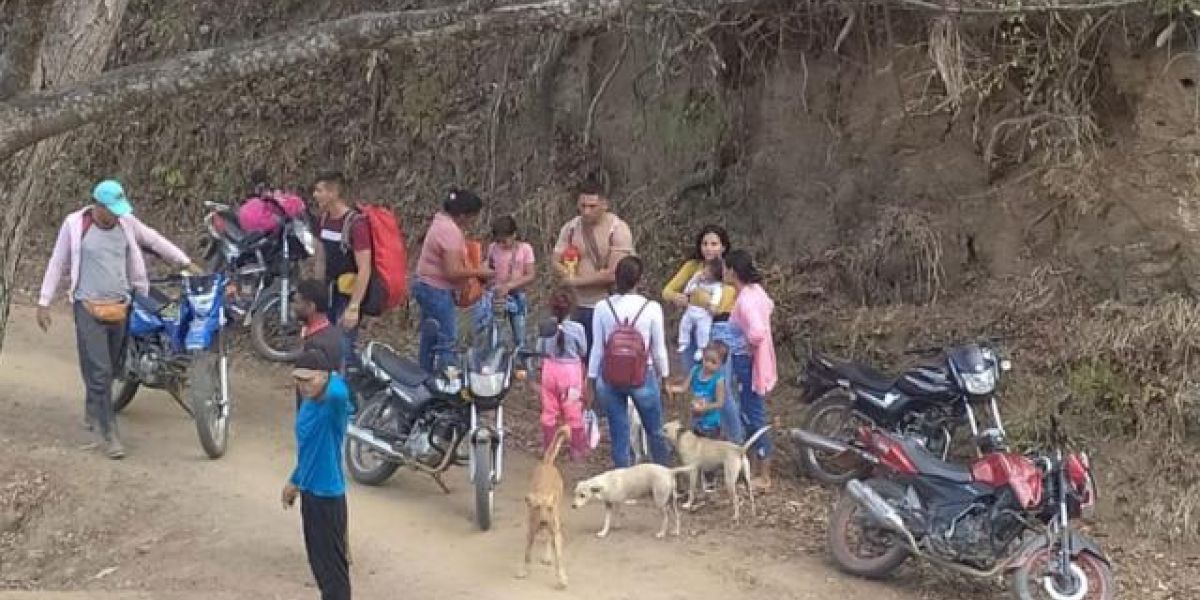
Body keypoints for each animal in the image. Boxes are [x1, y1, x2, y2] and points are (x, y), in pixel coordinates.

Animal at [516, 424, 571, 588]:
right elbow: (527, 554)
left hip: (556, 520)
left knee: (549, 537)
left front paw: (561, 577)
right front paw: (524, 570)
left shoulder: (555, 532)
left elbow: (559, 558)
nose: (544, 522)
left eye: (549, 508)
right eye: (537, 507)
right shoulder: (530, 532)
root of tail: (547, 463)